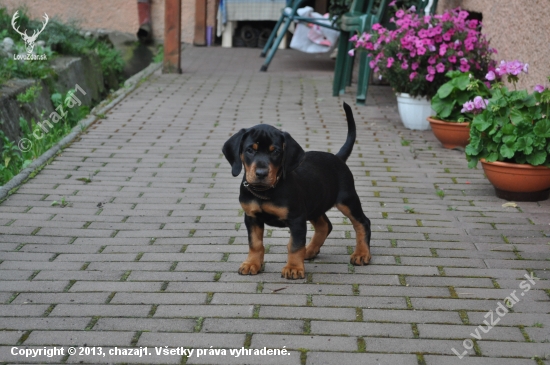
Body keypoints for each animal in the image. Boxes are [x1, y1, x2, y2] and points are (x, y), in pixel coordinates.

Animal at [222, 102, 374, 278]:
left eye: (276, 151)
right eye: (250, 150)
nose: (261, 173)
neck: (265, 192)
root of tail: (337, 157)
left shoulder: (297, 219)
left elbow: (294, 245)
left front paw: (293, 267)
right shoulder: (252, 218)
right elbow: (255, 243)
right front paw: (252, 263)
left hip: (347, 200)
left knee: (362, 223)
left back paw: (361, 254)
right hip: (315, 204)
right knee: (325, 226)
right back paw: (310, 251)